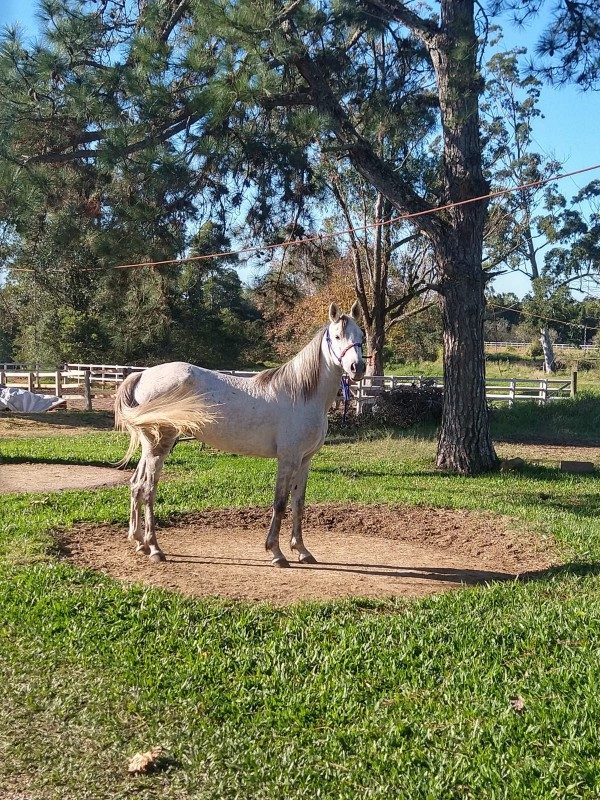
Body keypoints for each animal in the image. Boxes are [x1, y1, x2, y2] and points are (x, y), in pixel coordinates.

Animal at [114, 302, 365, 566]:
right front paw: (276, 552)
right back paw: (154, 548)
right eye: (337, 336)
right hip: (159, 447)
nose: (357, 368)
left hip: (149, 448)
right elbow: (280, 503)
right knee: (148, 490)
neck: (302, 394)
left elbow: (299, 504)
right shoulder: (288, 459)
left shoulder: (305, 460)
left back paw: (139, 542)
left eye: (361, 336)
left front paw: (302, 550)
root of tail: (142, 375)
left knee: (136, 485)